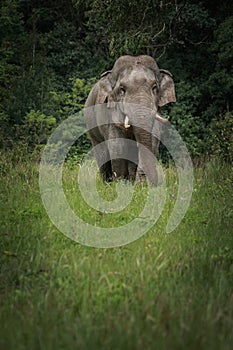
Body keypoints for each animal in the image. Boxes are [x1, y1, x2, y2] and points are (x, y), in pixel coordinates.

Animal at [84, 54, 176, 185]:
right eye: (122, 89)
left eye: (154, 87)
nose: (152, 183)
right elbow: (117, 145)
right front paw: (120, 184)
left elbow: (153, 140)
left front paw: (139, 185)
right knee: (102, 152)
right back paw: (107, 183)